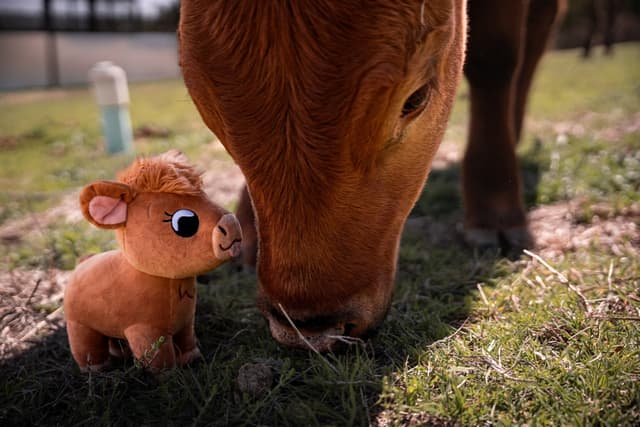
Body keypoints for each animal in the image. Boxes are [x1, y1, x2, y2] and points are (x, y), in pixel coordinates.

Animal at [178, 0, 565, 351]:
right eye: (215, 118)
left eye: (415, 99)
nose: (312, 330)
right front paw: (247, 227)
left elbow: (494, 58)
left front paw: (495, 212)